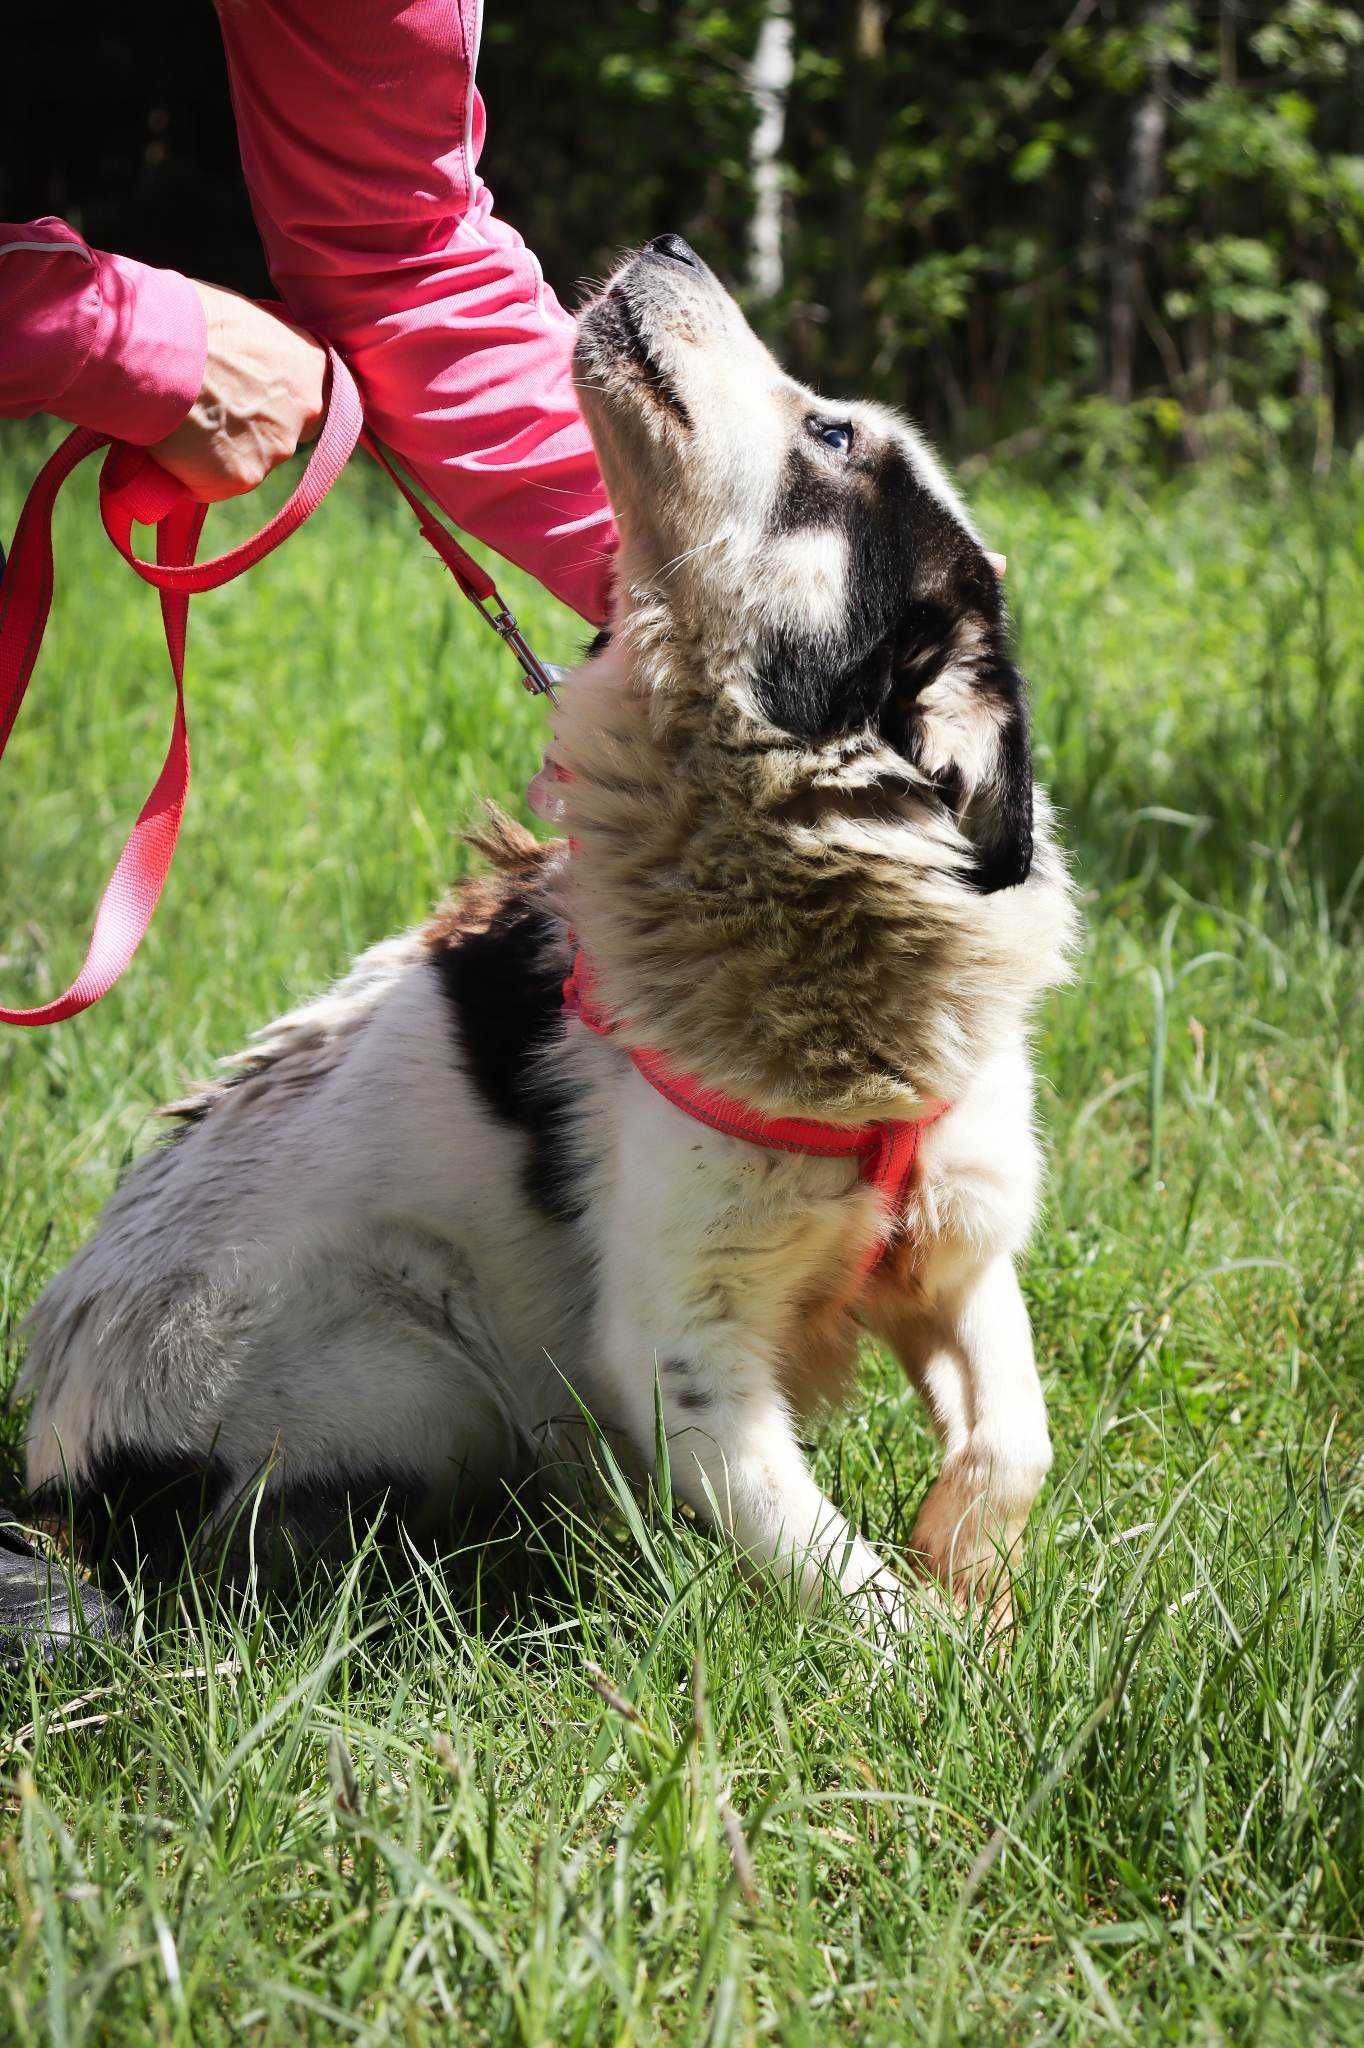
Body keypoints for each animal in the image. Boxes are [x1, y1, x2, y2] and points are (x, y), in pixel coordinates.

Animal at [10, 235, 1073, 1646]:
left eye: (831, 432)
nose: (673, 244)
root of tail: (58, 1480)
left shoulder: (958, 1227)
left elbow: (1015, 1438)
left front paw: (972, 1575)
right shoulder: (681, 1353)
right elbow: (831, 1568)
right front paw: (939, 1660)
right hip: (416, 1364)